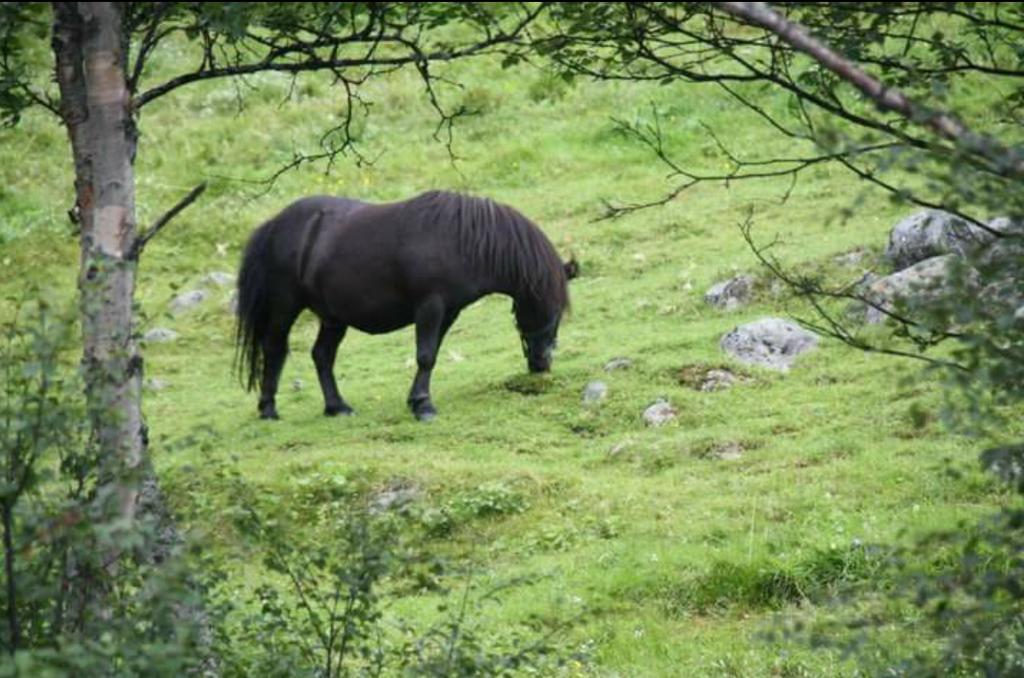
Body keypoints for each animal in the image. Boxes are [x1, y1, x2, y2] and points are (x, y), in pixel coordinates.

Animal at [234, 191, 581, 421]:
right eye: (551, 310)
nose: (542, 364)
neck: (461, 241)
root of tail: (273, 225)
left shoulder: (448, 312)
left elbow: (432, 356)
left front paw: (416, 401)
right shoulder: (430, 307)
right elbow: (425, 356)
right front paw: (423, 405)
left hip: (333, 317)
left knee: (322, 355)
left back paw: (337, 407)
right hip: (284, 308)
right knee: (275, 350)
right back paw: (268, 409)